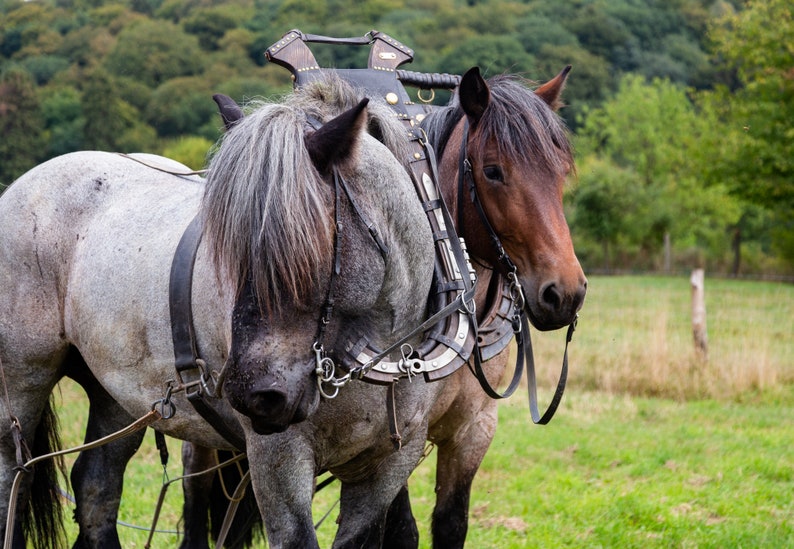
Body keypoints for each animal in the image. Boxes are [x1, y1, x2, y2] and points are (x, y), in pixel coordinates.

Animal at [0, 78, 442, 548]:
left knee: (96, 487)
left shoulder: (390, 466)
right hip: (21, 382)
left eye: (305, 247)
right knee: (13, 477)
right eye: (226, 250)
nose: (254, 396)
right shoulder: (278, 459)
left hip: (116, 391)